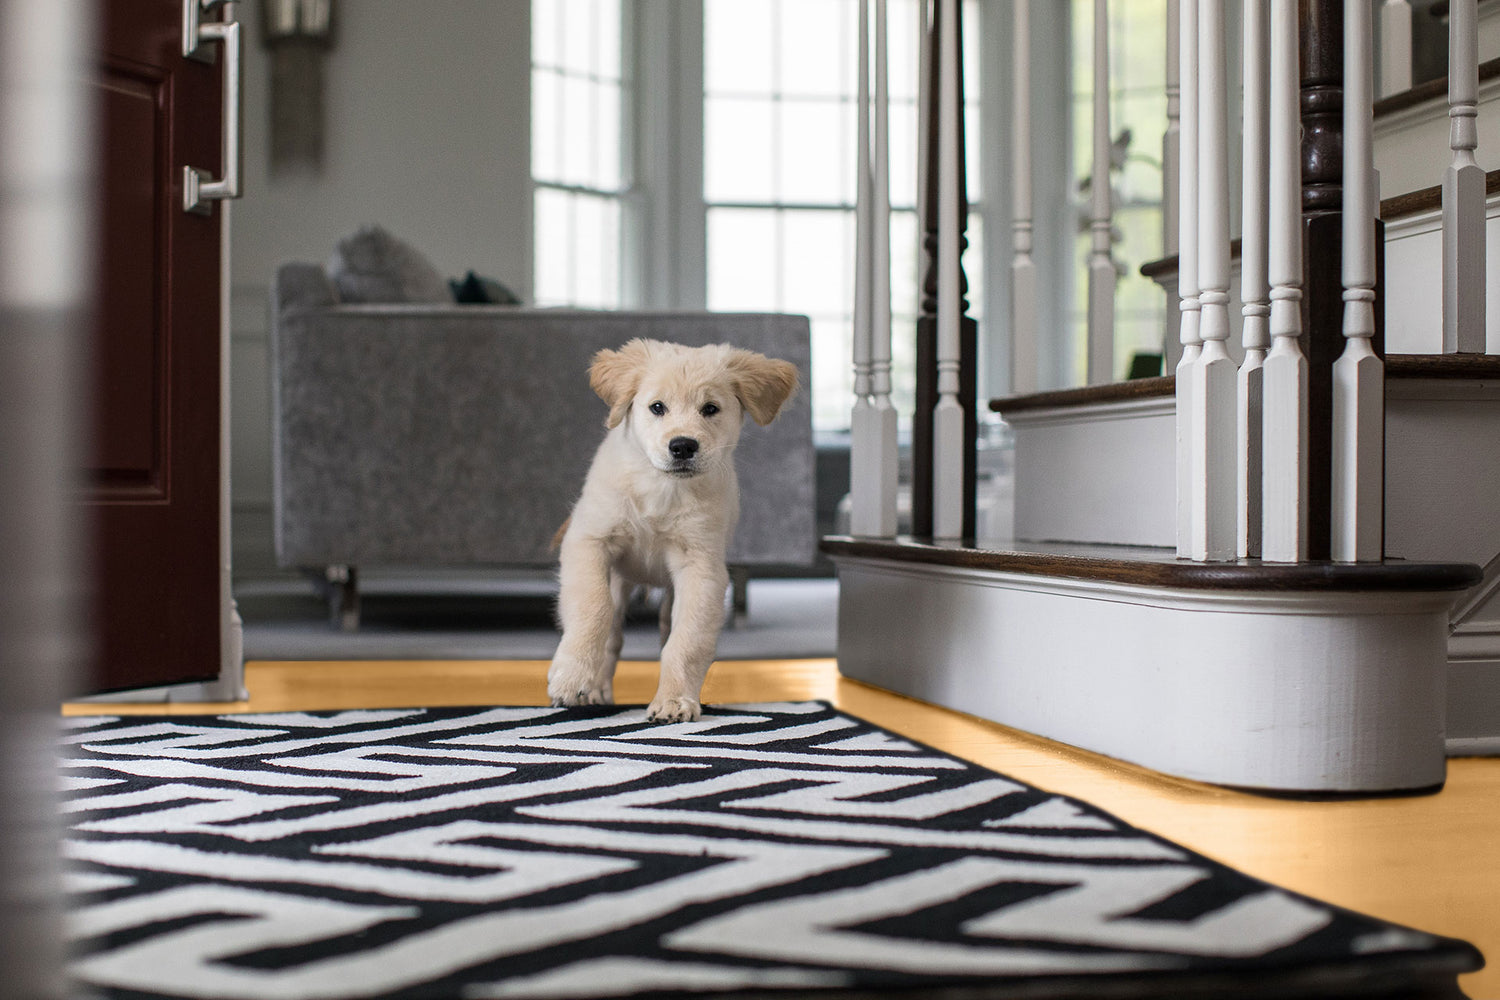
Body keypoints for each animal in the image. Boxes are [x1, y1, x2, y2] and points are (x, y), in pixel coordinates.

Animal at [552, 340, 804, 722]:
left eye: (710, 408)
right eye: (657, 407)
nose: (683, 446)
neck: (662, 490)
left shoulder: (701, 566)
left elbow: (687, 640)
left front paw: (674, 699)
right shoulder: (589, 540)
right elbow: (591, 606)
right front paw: (572, 677)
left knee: (665, 631)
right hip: (618, 579)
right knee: (612, 634)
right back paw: (594, 688)